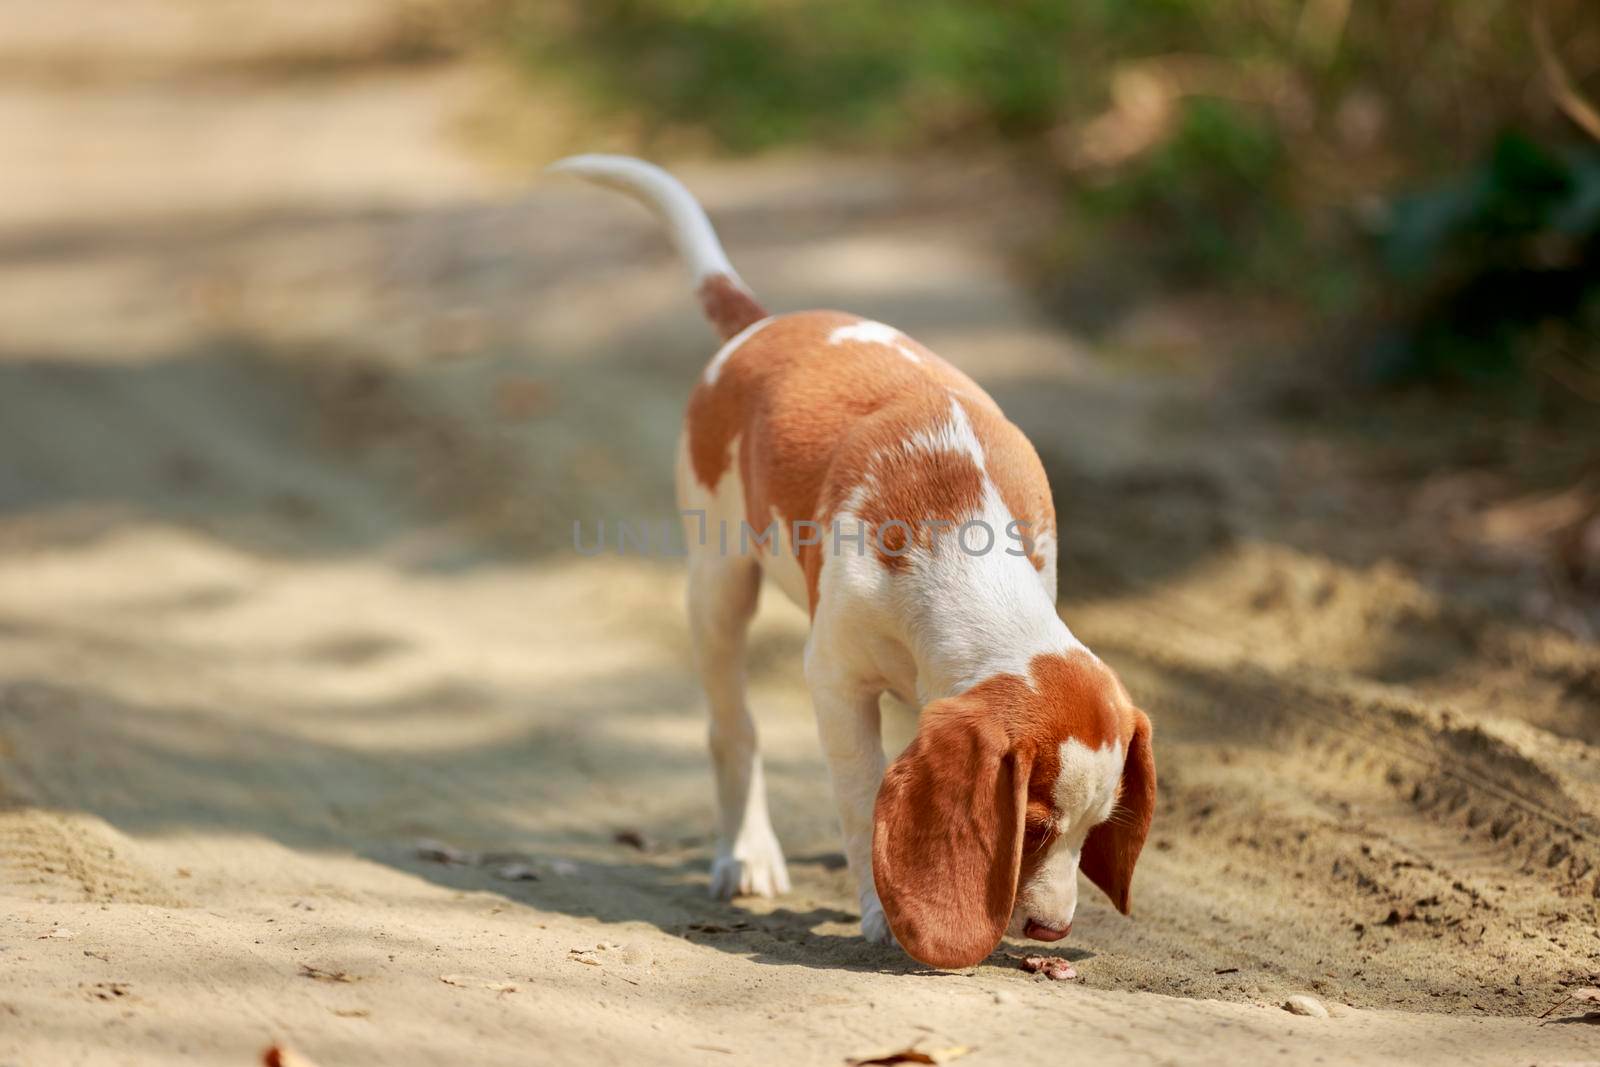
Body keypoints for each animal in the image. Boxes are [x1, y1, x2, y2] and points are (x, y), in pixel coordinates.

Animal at [550, 154, 1152, 972]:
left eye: (1098, 826)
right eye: (1031, 828)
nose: (1053, 930)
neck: (961, 548)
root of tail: (765, 323)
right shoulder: (834, 683)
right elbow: (864, 795)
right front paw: (881, 913)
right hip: (718, 584)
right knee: (732, 727)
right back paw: (745, 853)